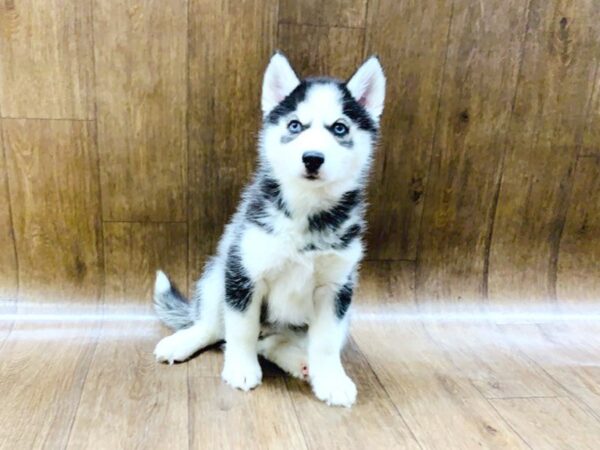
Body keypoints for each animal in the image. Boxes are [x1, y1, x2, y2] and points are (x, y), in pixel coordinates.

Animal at [151, 52, 384, 408]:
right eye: (295, 126)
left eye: (340, 127)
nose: (312, 158)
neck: (305, 211)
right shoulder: (246, 274)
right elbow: (241, 330)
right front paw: (241, 369)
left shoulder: (336, 288)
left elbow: (326, 343)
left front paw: (331, 380)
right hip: (219, 272)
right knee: (216, 327)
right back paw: (184, 341)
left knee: (271, 342)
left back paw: (300, 362)